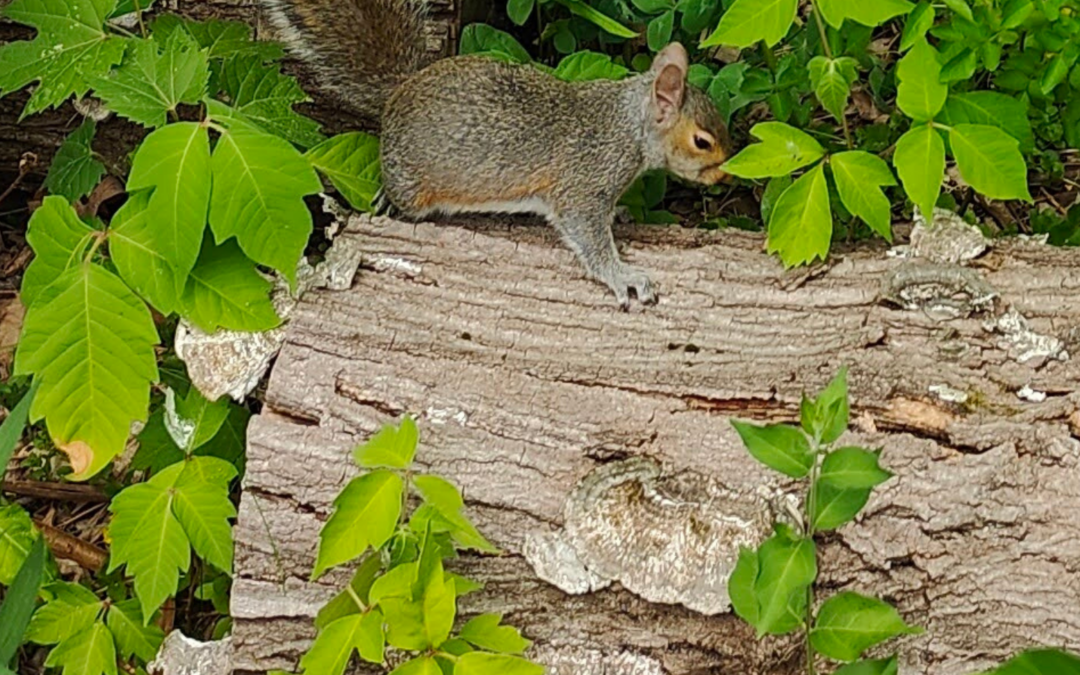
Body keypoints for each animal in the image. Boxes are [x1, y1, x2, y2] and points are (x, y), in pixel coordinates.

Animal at [259, 0, 733, 308]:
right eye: (702, 141)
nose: (725, 175)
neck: (628, 125)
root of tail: (398, 94)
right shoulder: (584, 180)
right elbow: (587, 234)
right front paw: (623, 276)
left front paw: (619, 215)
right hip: (413, 184)